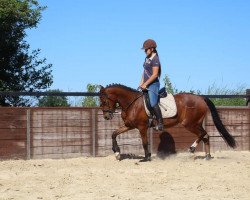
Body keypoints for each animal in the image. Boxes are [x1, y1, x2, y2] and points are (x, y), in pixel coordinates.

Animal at [98, 83, 235, 162]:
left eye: (104, 101)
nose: (106, 116)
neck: (132, 103)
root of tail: (201, 97)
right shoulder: (129, 125)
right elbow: (114, 134)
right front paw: (117, 153)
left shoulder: (142, 127)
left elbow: (144, 143)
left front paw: (146, 158)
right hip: (196, 123)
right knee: (206, 135)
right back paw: (207, 156)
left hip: (189, 124)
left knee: (203, 134)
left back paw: (191, 149)